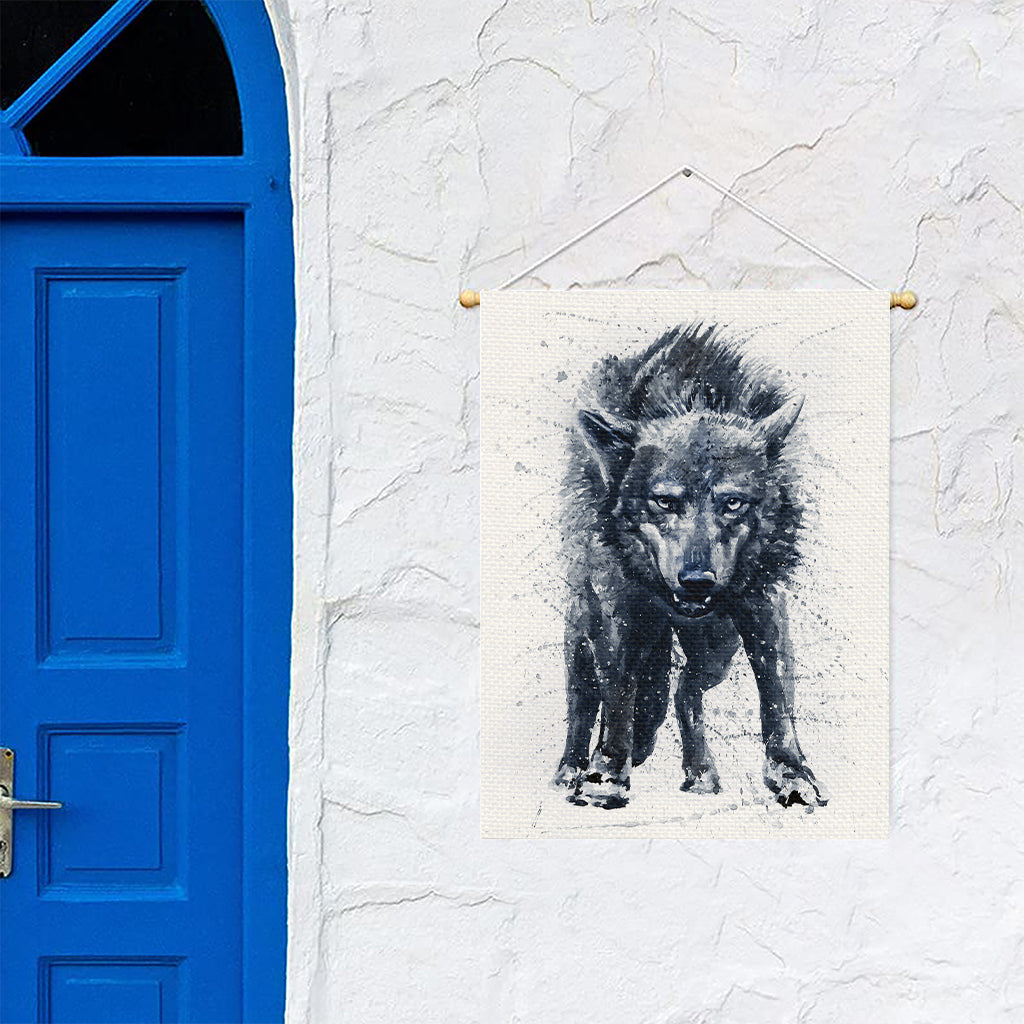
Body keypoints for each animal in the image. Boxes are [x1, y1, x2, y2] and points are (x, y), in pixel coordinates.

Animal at [553, 322, 827, 810]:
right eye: (665, 501)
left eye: (733, 503)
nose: (698, 582)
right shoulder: (618, 610)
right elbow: (618, 694)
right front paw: (606, 776)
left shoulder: (764, 603)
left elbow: (776, 695)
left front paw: (791, 775)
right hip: (582, 632)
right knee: (585, 701)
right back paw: (571, 771)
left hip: (716, 648)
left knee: (685, 689)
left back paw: (700, 773)